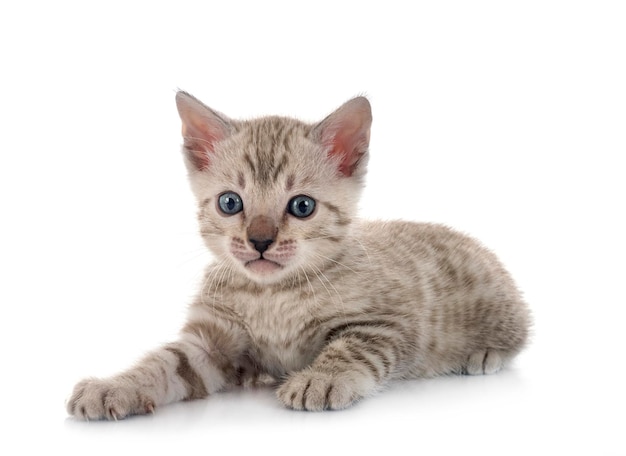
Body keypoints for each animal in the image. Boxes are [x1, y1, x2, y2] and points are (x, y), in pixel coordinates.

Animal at [67, 92, 528, 420]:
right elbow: (164, 362)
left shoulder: (388, 324)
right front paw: (115, 386)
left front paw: (319, 379)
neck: (272, 296)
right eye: (230, 203)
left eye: (302, 206)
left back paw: (483, 355)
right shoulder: (208, 341)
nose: (259, 240)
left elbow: (351, 348)